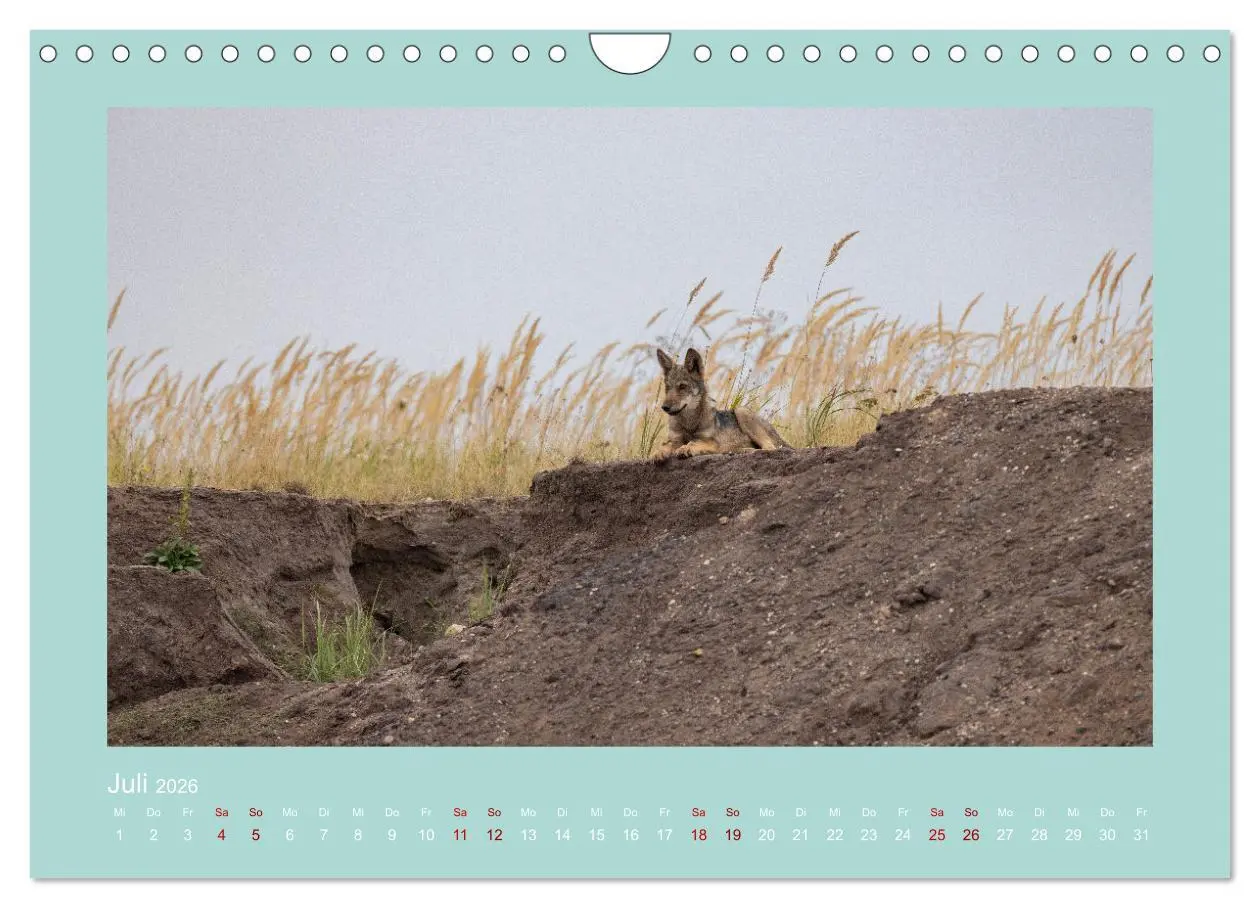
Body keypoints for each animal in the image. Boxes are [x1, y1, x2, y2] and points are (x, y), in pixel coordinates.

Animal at [652, 347, 791, 461]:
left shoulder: (711, 442)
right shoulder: (675, 440)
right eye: (667, 388)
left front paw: (685, 448)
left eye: (682, 387)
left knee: (769, 448)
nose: (665, 407)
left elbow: (693, 443)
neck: (689, 424)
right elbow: (665, 446)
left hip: (740, 410)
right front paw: (658, 453)